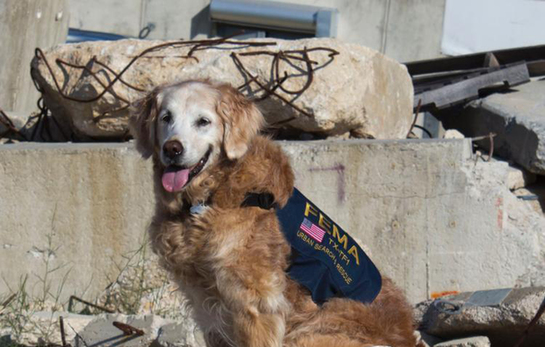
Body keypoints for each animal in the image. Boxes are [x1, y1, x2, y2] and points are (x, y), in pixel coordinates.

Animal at [130, 79, 418, 347]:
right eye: (166, 118)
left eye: (203, 121)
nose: (172, 149)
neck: (210, 197)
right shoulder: (205, 305)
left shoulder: (257, 304)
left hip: (308, 332)